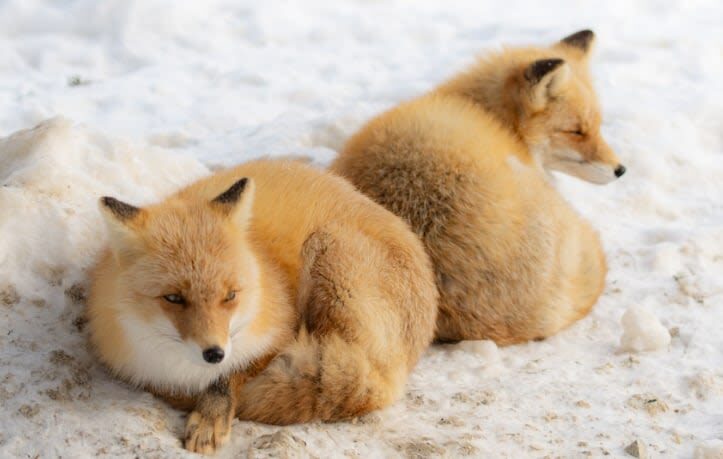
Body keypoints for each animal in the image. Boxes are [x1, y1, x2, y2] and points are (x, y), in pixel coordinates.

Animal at [87, 159, 437, 454]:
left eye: (230, 295)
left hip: (327, 253)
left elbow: (231, 374)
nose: (214, 353)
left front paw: (211, 415)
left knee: (361, 386)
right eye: (173, 298)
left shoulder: (279, 332)